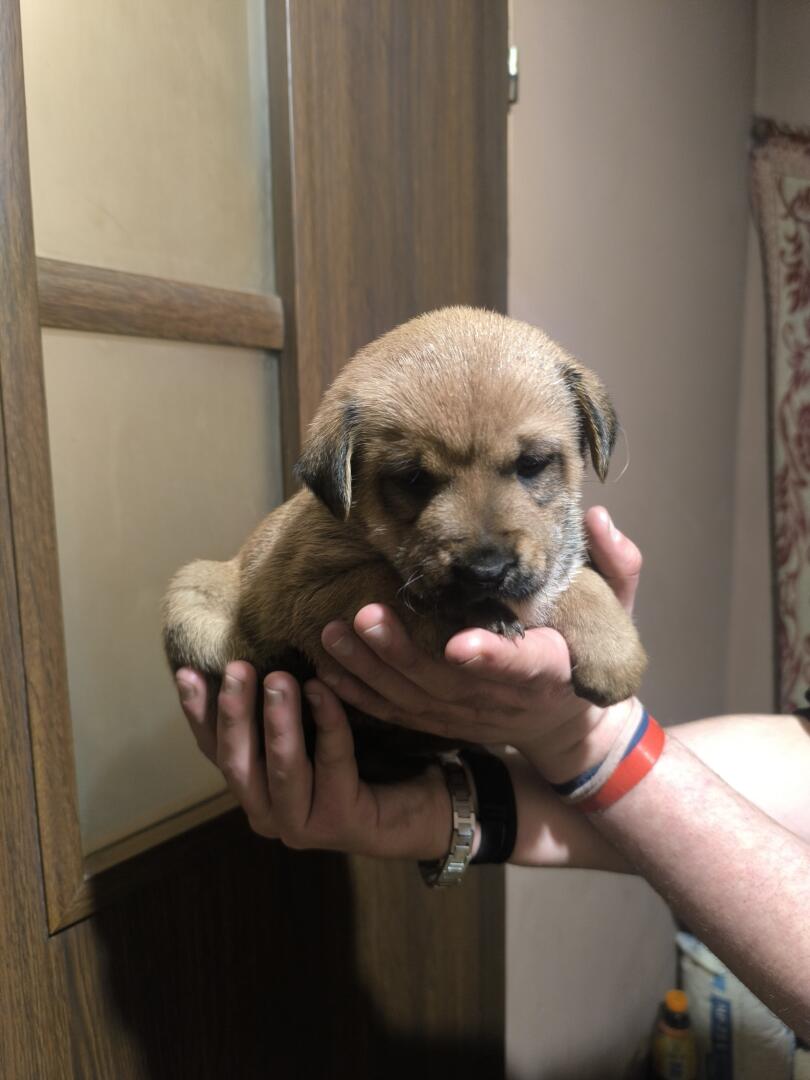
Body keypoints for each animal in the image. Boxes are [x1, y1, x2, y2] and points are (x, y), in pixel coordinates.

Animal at [163, 307, 646, 773]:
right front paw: (477, 613)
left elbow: (582, 581)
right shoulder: (311, 593)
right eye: (413, 479)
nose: (486, 572)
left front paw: (614, 651)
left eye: (532, 464)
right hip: (193, 593)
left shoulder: (557, 554)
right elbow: (397, 587)